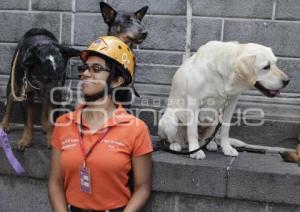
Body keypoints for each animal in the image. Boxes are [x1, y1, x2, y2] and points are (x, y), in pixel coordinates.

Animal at [158, 40, 290, 159]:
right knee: (173, 139)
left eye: (275, 63)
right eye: (266, 67)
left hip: (215, 120)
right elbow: (192, 131)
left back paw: (210, 144)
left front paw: (227, 148)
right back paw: (176, 145)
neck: (223, 74)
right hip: (170, 120)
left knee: (209, 137)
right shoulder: (193, 101)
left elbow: (225, 130)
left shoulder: (231, 102)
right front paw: (195, 151)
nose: (287, 81)